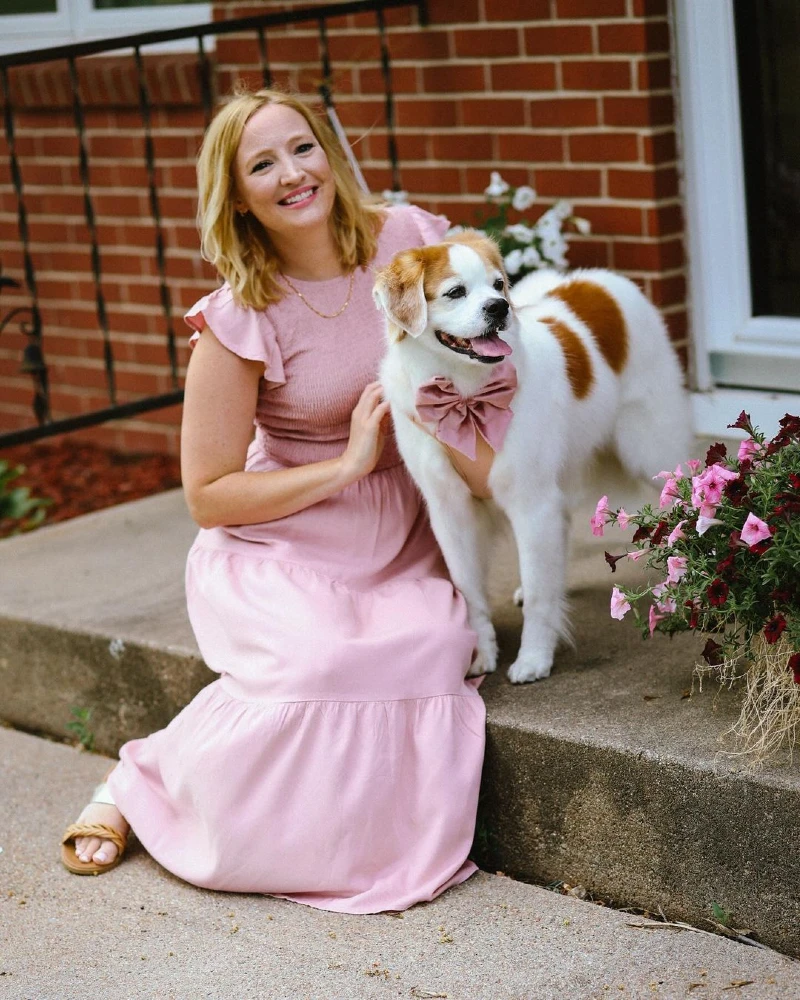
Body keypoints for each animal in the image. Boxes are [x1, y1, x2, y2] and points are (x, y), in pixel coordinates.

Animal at [372, 229, 692, 684]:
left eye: (497, 285)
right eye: (455, 292)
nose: (499, 307)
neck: (467, 397)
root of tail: (601, 279)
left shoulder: (530, 501)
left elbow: (541, 594)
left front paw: (535, 658)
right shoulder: (452, 512)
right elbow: (470, 593)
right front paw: (481, 655)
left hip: (649, 450)